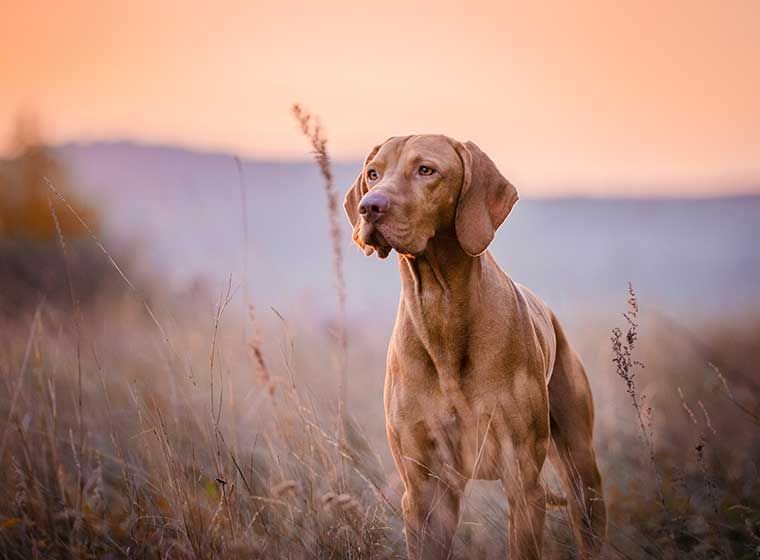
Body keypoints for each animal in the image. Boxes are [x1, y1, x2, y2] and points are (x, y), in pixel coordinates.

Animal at [344, 137, 604, 560]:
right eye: (373, 173)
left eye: (426, 170)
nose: (370, 206)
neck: (441, 310)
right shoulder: (424, 490)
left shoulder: (522, 481)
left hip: (582, 470)